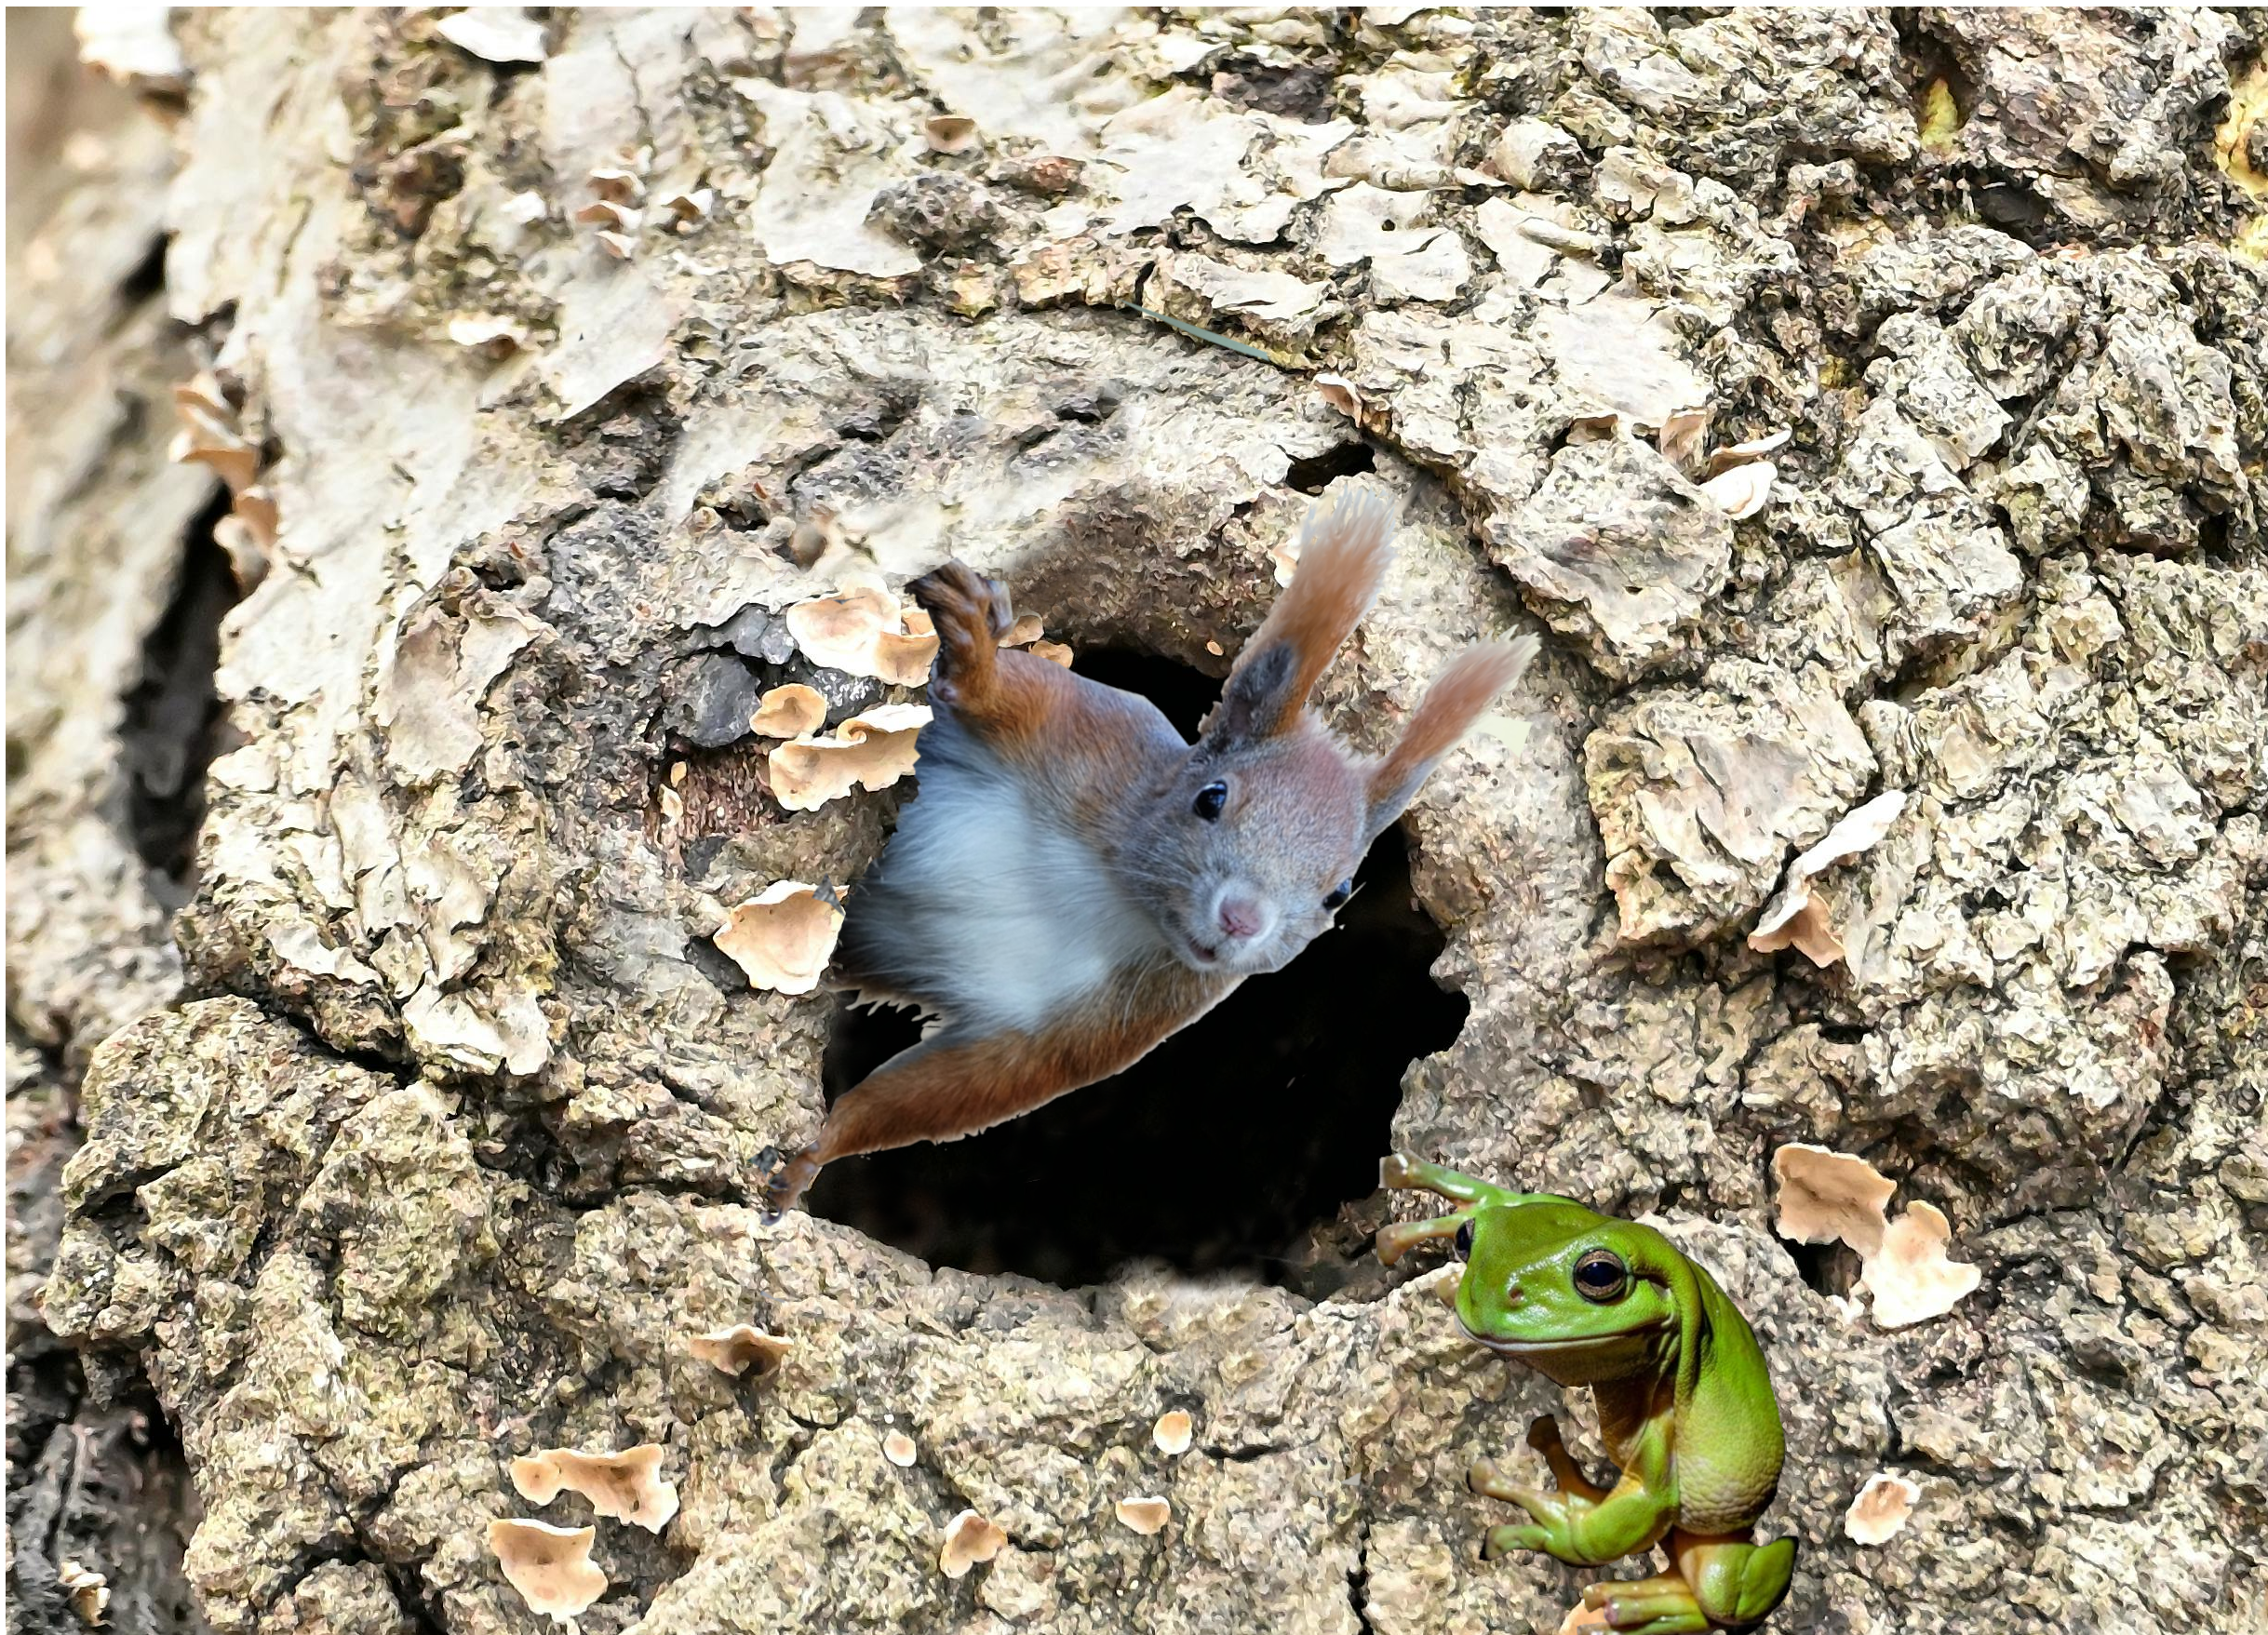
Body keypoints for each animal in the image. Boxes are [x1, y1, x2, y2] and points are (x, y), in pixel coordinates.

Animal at [761, 482, 1537, 1214]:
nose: (1241, 920)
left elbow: (963, 1087)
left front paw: (820, 1149)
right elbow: (1004, 693)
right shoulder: (1086, 734)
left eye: (1338, 892)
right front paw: (977, 645)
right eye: (1211, 798)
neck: (1112, 898)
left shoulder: (1124, 1014)